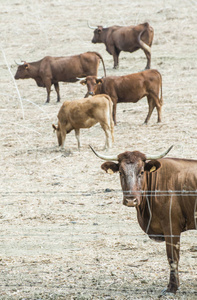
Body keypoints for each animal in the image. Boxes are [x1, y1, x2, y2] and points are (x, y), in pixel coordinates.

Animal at [90, 145, 197, 296]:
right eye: (120, 172)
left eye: (141, 171)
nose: (130, 200)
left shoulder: (172, 227)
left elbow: (172, 258)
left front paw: (172, 287)